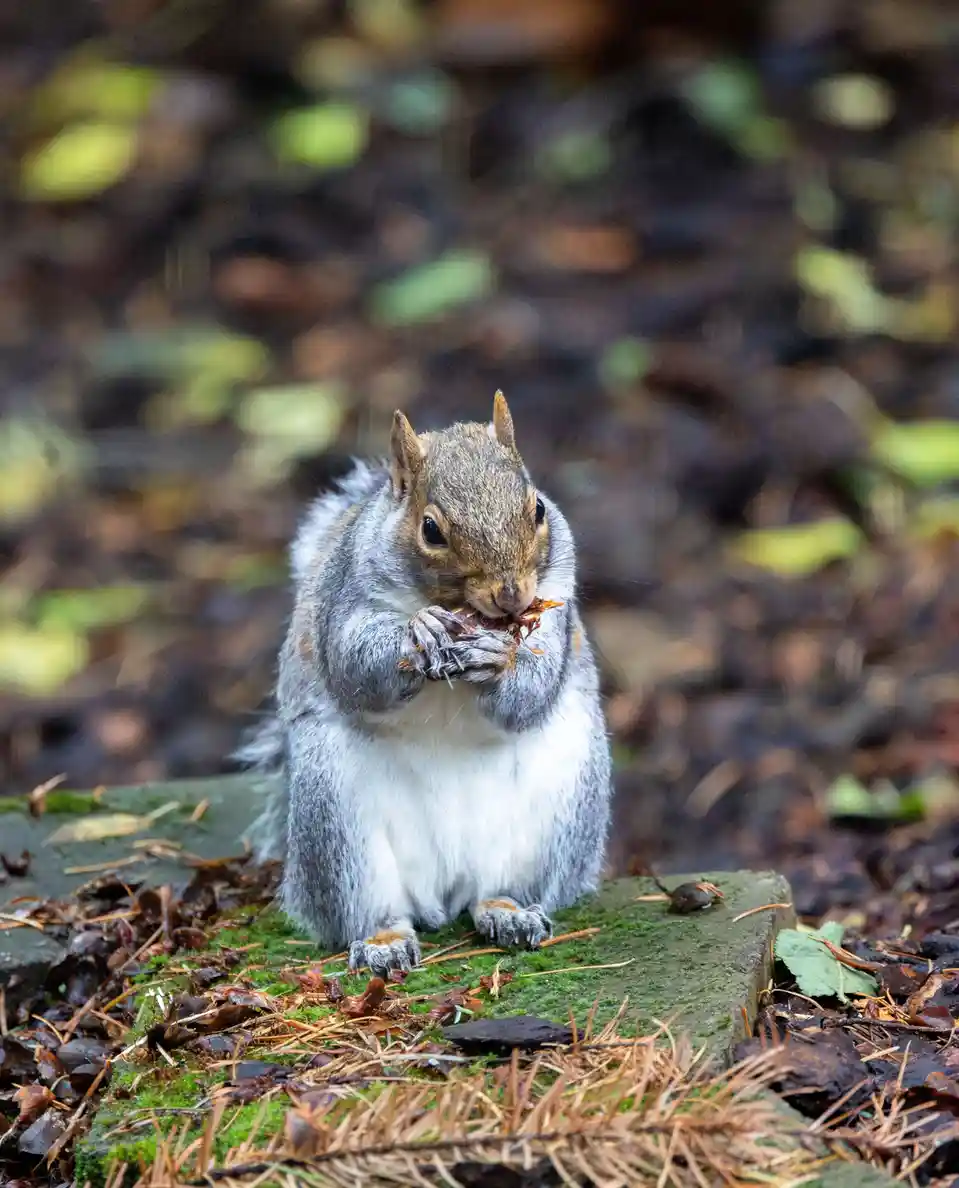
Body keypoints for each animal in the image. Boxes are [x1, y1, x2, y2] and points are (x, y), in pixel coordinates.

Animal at [236, 391, 612, 975]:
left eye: (538, 508)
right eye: (431, 529)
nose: (512, 594)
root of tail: (445, 891)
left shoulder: (556, 601)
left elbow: (531, 691)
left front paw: (498, 658)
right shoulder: (346, 600)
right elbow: (354, 666)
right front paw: (419, 634)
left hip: (558, 808)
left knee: (502, 887)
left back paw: (509, 913)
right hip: (335, 820)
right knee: (371, 907)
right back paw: (383, 942)